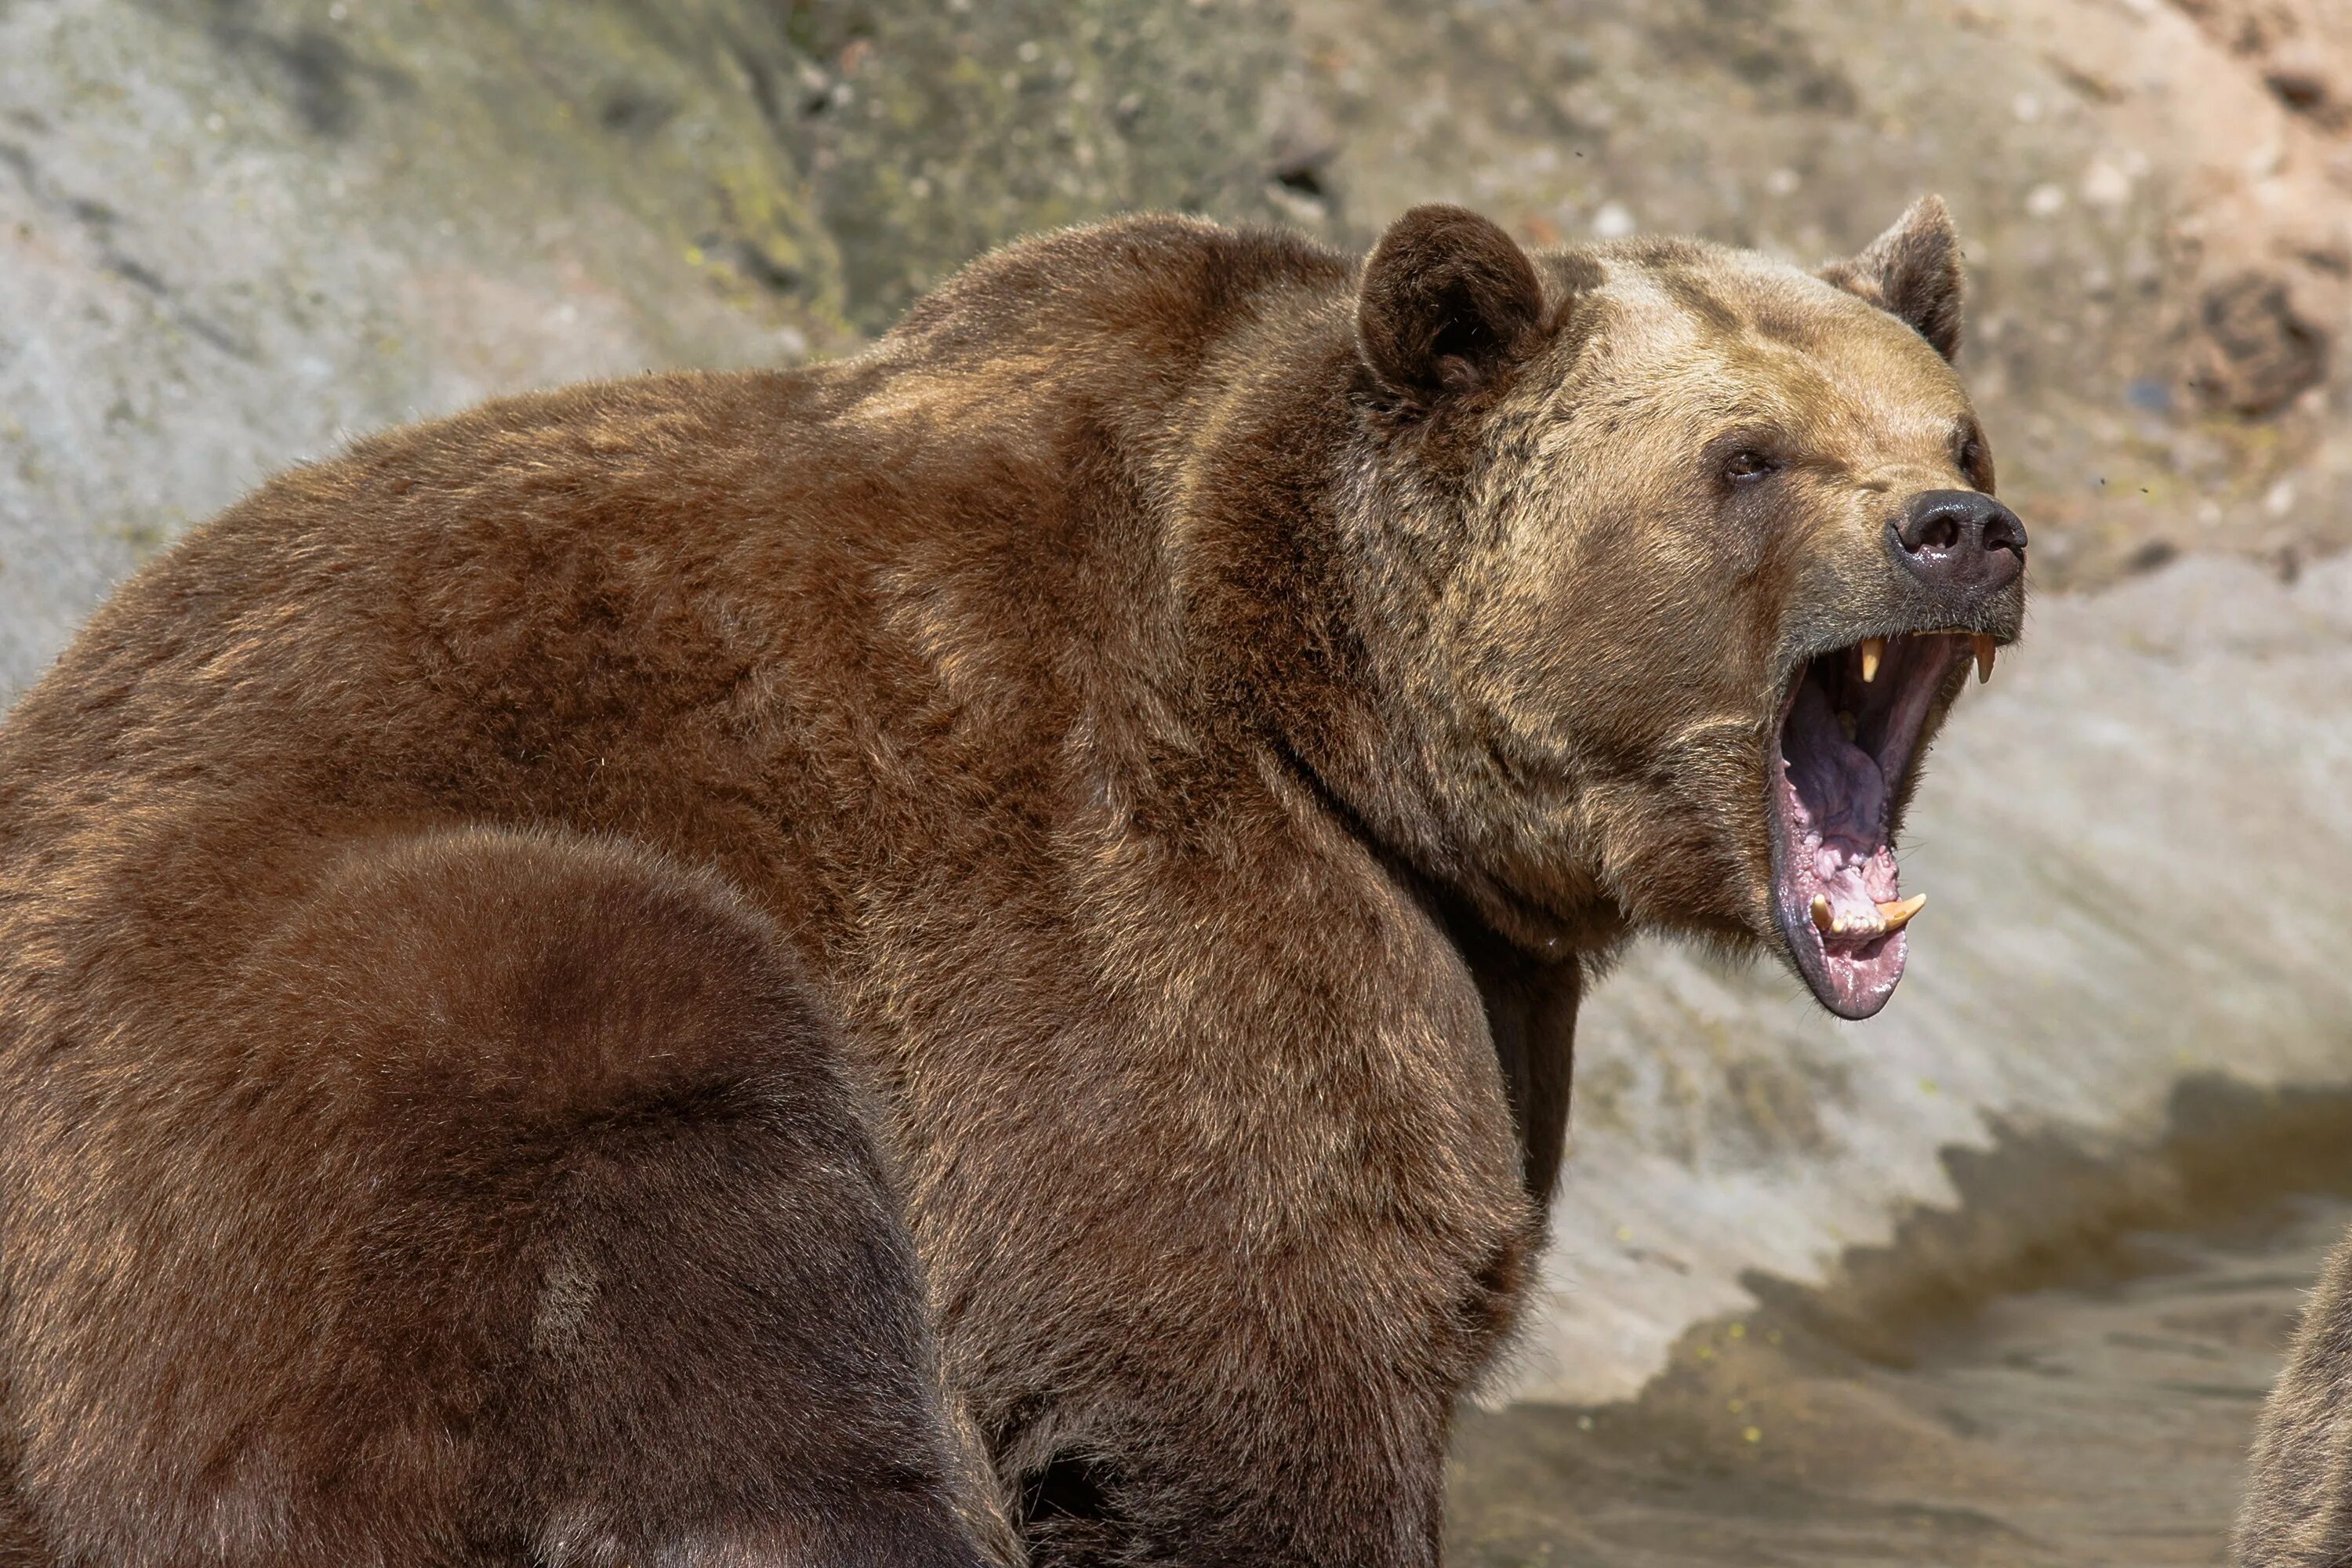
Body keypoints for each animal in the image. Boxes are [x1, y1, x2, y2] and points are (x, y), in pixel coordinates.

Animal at [0, 199, 2023, 1568]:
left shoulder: (1456, 974)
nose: (1961, 532)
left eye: (1951, 431)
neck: (1342, 721)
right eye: (1745, 458)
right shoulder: (1142, 908)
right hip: (269, 1057)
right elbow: (1235, 1362)